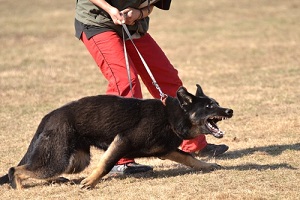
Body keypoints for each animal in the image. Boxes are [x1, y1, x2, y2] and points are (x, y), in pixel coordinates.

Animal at [0, 84, 233, 189]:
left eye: (217, 103)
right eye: (209, 106)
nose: (230, 111)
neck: (171, 116)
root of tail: (49, 116)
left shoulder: (167, 151)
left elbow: (190, 158)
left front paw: (209, 166)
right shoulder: (122, 140)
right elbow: (106, 164)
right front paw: (90, 182)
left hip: (75, 160)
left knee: (37, 170)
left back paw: (56, 180)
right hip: (59, 158)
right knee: (16, 169)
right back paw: (18, 187)